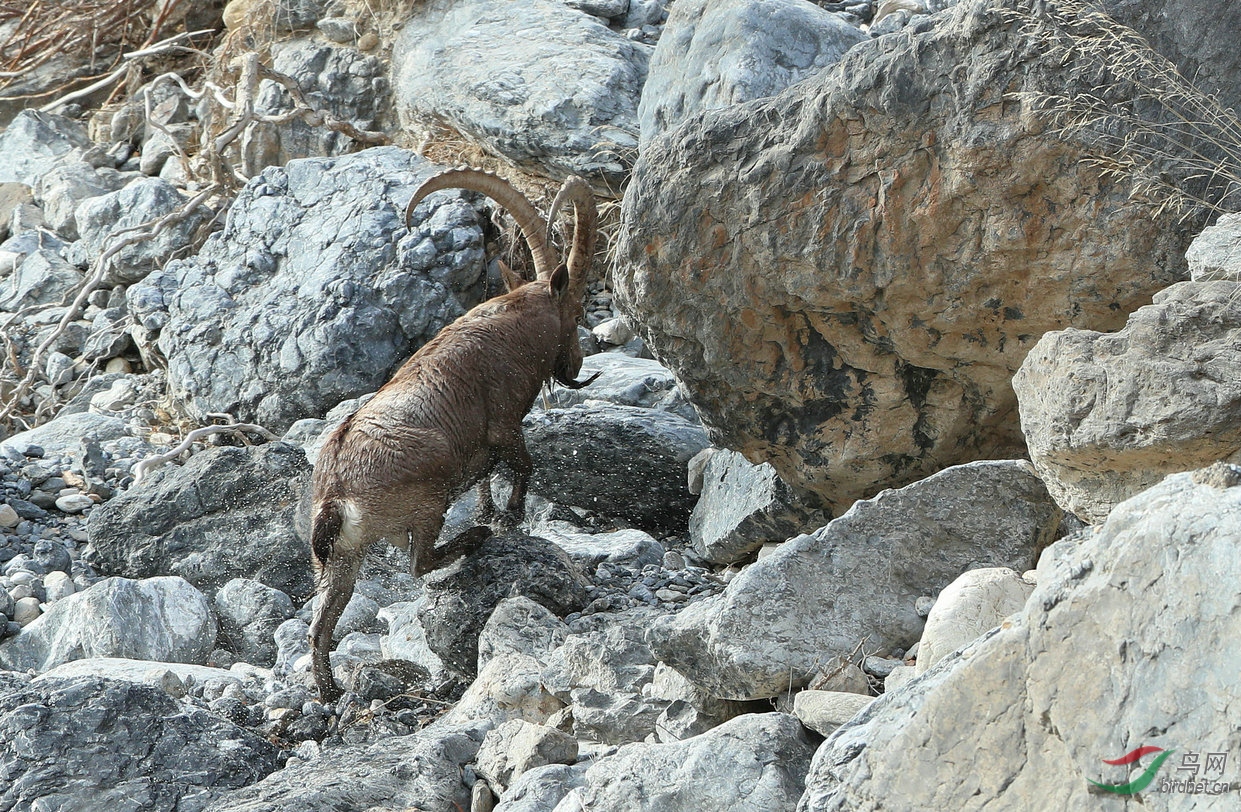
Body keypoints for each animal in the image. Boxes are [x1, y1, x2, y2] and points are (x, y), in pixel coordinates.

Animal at [310, 168, 600, 705]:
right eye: (575, 312)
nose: (575, 367)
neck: (513, 323)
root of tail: (336, 495)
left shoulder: (483, 449)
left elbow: (487, 476)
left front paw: (491, 511)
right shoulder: (504, 422)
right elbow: (523, 465)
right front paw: (509, 518)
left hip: (341, 559)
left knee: (321, 624)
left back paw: (329, 691)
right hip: (427, 501)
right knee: (419, 564)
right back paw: (474, 540)